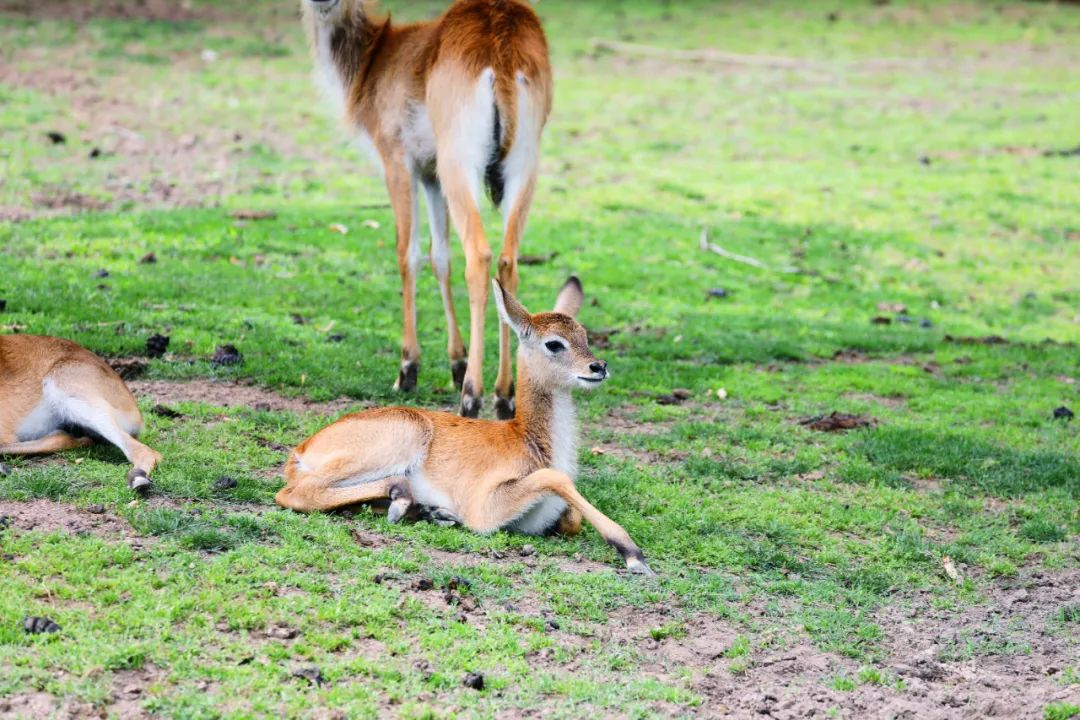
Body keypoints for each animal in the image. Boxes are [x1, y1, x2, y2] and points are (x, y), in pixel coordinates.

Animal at [274, 278, 652, 578]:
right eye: (554, 343)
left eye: (584, 335)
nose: (598, 367)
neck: (531, 440)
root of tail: (301, 450)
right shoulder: (484, 509)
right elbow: (555, 478)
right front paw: (634, 555)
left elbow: (570, 517)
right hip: (400, 440)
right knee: (297, 493)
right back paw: (409, 502)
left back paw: (424, 509)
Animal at [302, 0, 552, 416]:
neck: (372, 59)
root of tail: (499, 47)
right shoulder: (432, 175)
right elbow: (440, 257)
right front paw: (456, 362)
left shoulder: (398, 160)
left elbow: (408, 254)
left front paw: (408, 370)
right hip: (524, 163)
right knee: (507, 261)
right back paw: (504, 395)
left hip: (459, 162)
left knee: (479, 256)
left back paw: (471, 397)